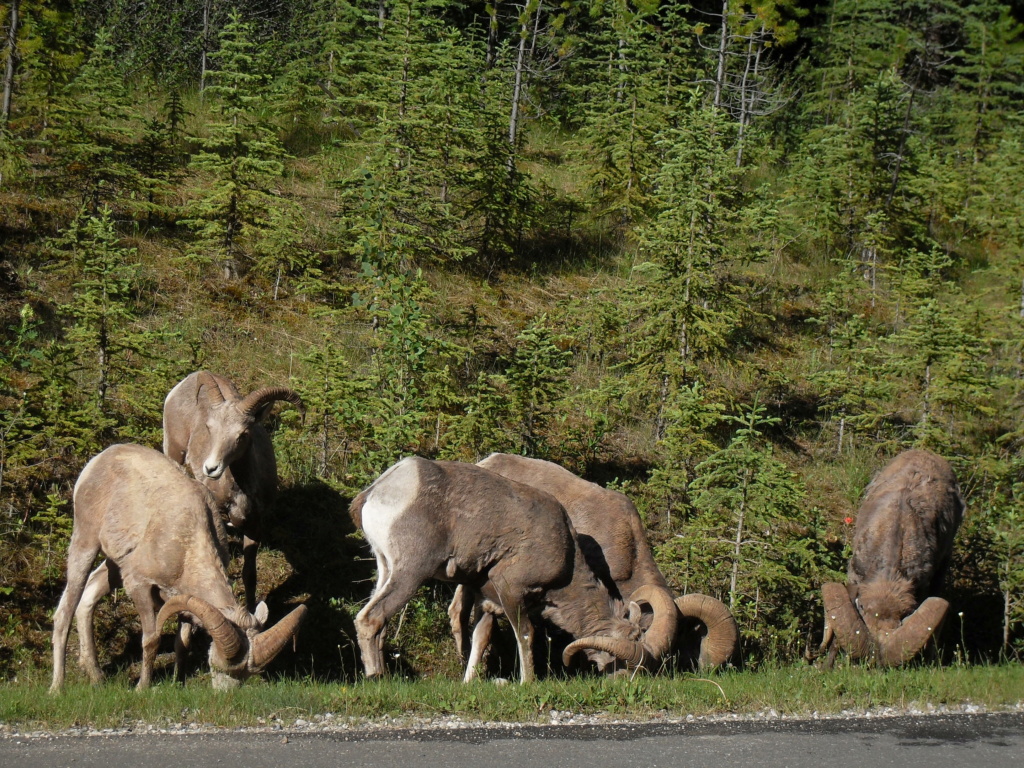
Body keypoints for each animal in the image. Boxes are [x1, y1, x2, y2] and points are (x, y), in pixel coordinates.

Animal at [51, 444, 305, 692]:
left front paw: (177, 683)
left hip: (114, 565)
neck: (188, 543)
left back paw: (97, 678)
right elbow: (151, 639)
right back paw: (57, 688)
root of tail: (99, 460)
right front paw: (142, 688)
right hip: (86, 543)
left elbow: (182, 643)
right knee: (65, 611)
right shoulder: (139, 586)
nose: (226, 694)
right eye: (220, 667)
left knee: (88, 597)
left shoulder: (182, 599)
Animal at [161, 370, 301, 618]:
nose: (211, 469)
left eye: (243, 433)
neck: (240, 494)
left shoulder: (254, 526)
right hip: (174, 450)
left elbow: (250, 575)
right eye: (209, 428)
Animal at [348, 456, 675, 684]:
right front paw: (526, 682)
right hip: (411, 573)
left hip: (385, 569)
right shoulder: (512, 592)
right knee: (371, 619)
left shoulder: (486, 600)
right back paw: (377, 678)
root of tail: (378, 490)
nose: (624, 684)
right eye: (624, 663)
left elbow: (480, 638)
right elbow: (526, 635)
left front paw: (469, 682)